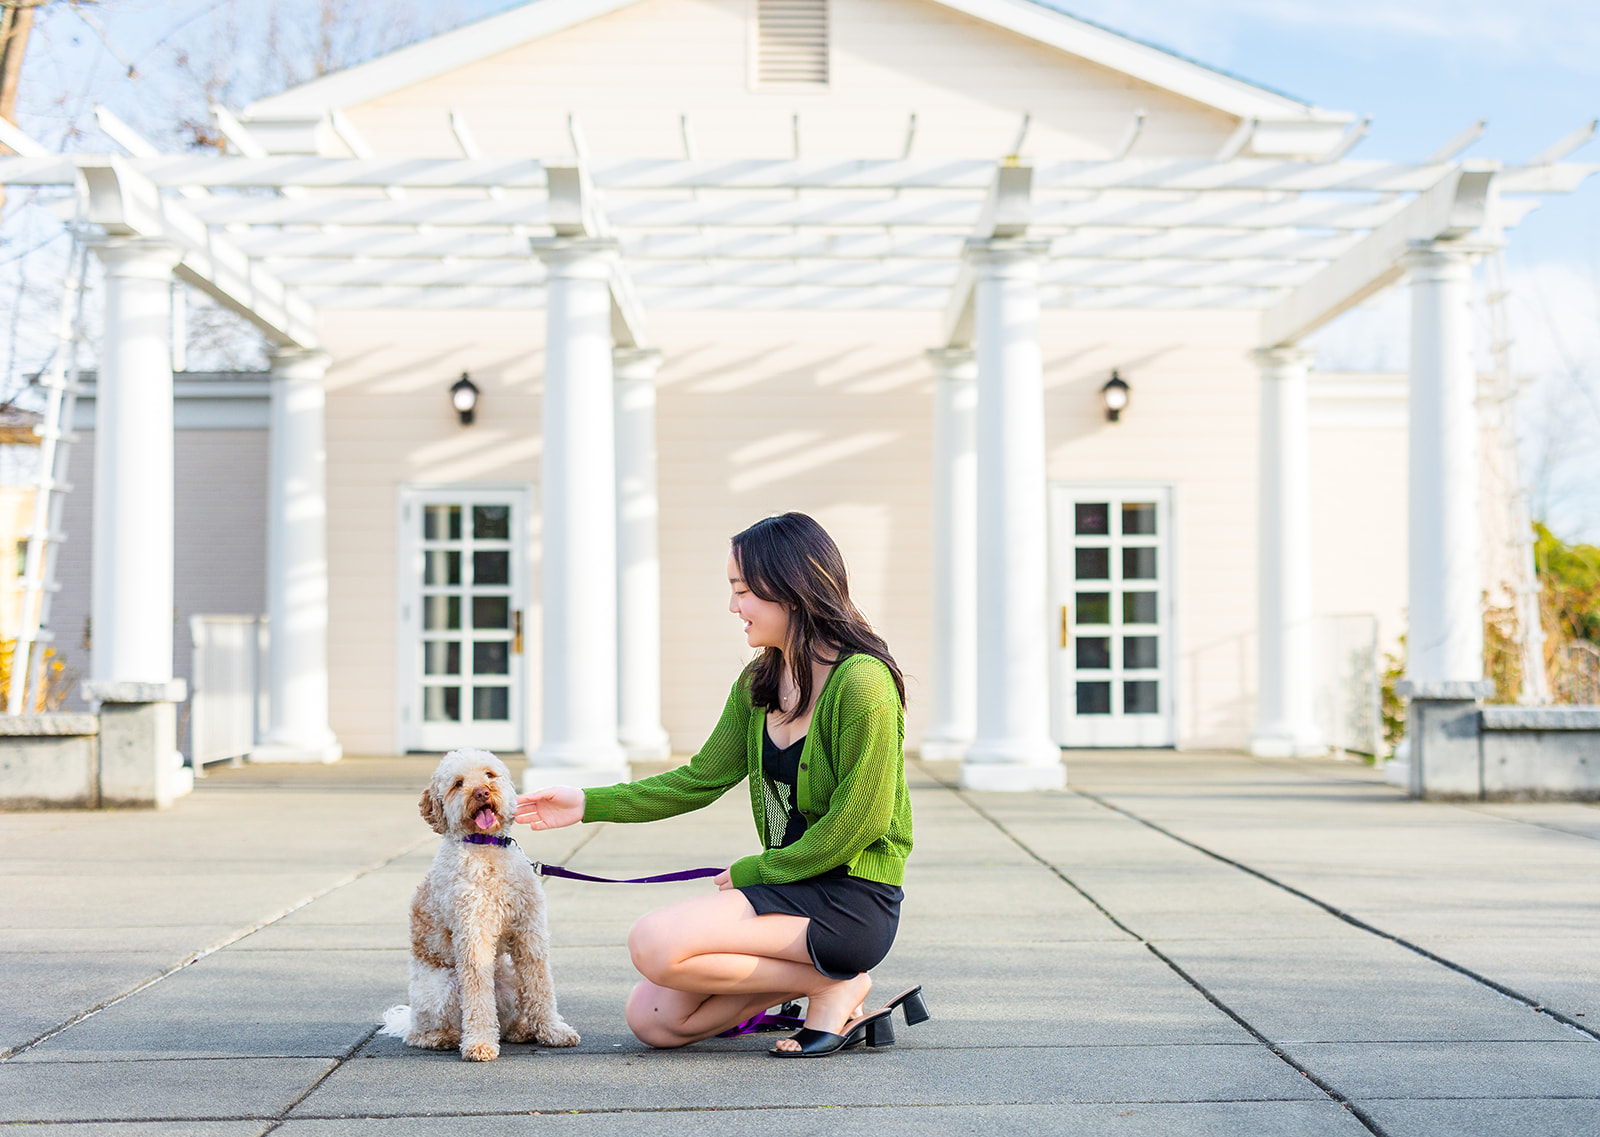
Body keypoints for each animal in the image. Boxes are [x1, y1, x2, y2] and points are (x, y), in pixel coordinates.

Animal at [380, 751, 582, 1061]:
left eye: (489, 774)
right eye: (458, 783)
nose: (482, 792)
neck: (487, 848)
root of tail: (409, 1018)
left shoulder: (529, 932)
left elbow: (540, 986)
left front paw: (553, 1030)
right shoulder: (473, 933)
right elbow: (477, 997)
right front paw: (479, 1044)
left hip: (508, 979)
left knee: (509, 1015)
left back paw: (522, 1029)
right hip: (441, 986)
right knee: (421, 1033)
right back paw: (444, 1037)